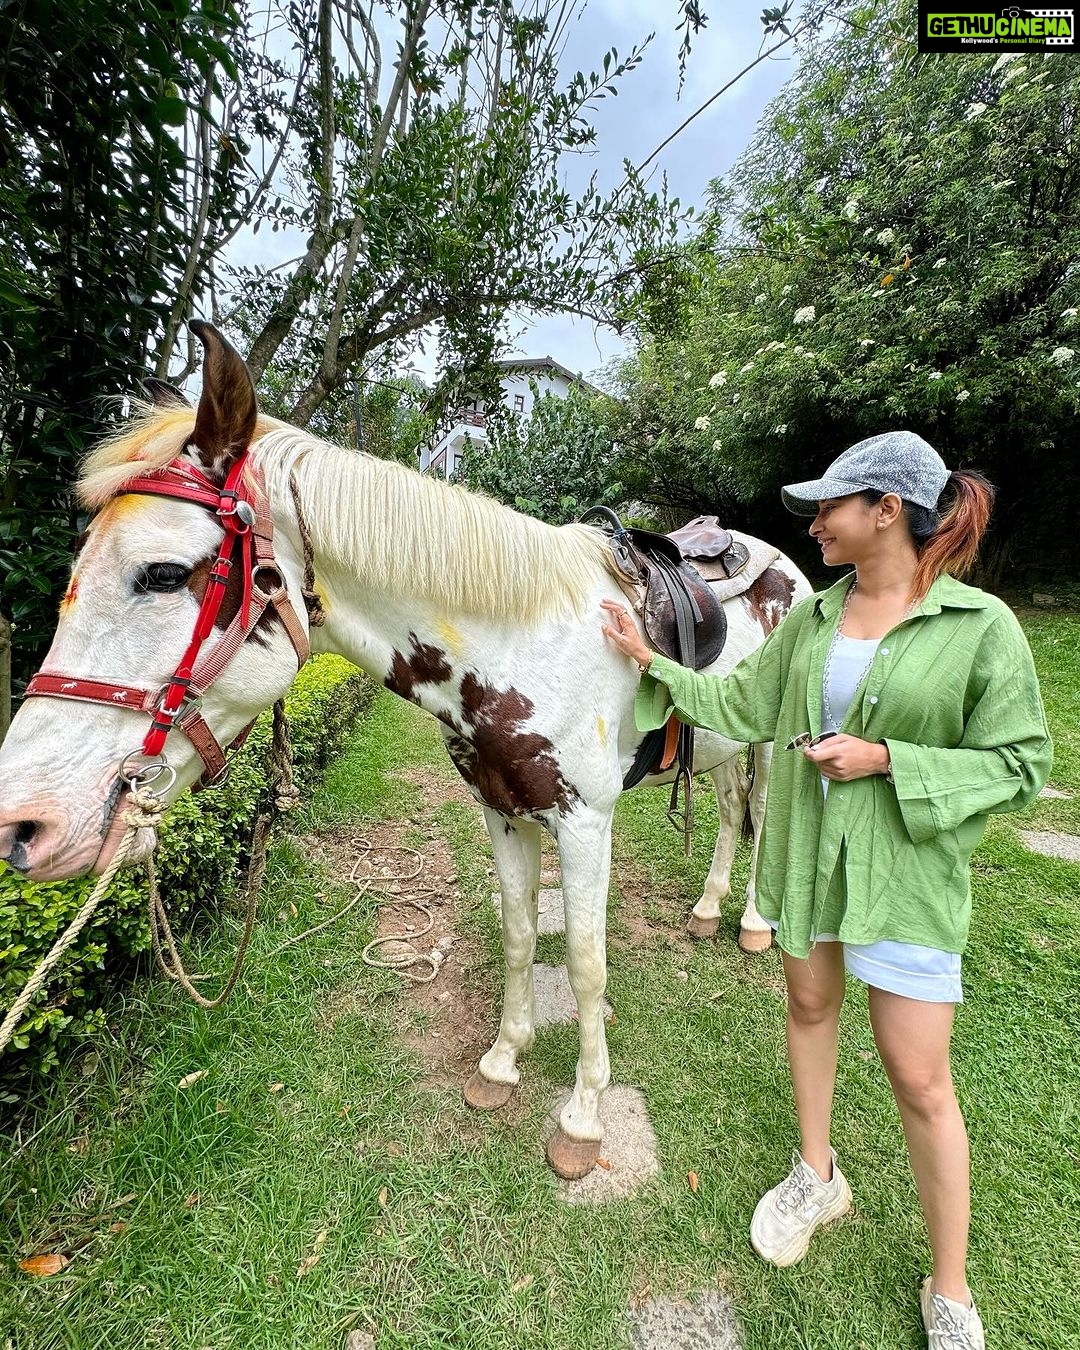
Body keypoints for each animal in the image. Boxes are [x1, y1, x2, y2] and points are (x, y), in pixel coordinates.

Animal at [0, 323, 811, 1179]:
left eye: (160, 574)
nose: (24, 825)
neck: (522, 641)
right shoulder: (503, 811)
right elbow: (520, 934)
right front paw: (501, 1063)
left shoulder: (585, 823)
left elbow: (586, 967)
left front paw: (585, 1118)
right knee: (729, 809)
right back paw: (708, 909)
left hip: (775, 743)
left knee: (763, 820)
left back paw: (752, 922)